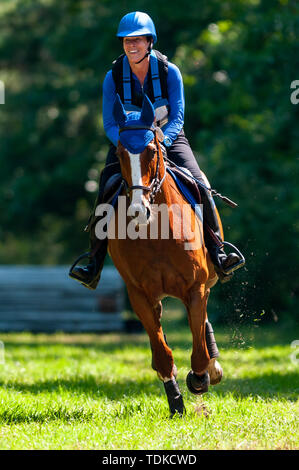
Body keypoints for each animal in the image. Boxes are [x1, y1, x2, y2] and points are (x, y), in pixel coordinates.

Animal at [106, 94, 223, 414]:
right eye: (120, 152)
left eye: (151, 150)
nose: (138, 211)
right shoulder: (140, 295)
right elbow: (162, 354)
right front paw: (176, 403)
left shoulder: (196, 288)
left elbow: (198, 350)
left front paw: (200, 378)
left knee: (202, 326)